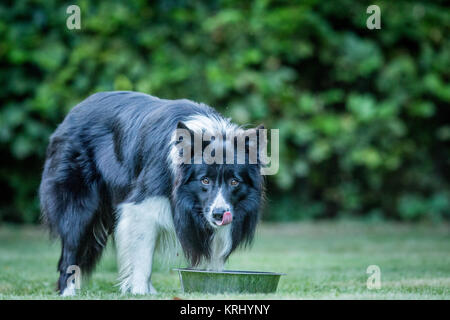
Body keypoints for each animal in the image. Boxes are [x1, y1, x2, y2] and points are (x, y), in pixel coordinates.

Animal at [39, 90, 268, 296]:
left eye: (234, 182)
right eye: (205, 180)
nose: (219, 215)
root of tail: (71, 114)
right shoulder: (142, 205)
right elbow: (143, 254)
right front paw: (140, 291)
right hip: (78, 204)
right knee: (70, 247)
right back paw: (67, 291)